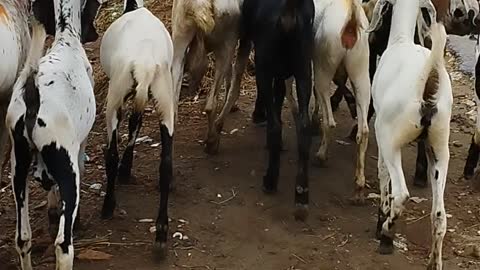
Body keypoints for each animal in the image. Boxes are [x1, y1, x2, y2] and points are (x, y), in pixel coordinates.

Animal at [6, 0, 102, 268]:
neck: (66, 41)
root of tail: (33, 96)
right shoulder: (78, 148)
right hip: (67, 170)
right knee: (63, 245)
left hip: (18, 167)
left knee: (22, 238)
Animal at [100, 0, 175, 258]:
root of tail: (145, 66)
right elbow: (136, 122)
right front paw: (127, 168)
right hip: (165, 98)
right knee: (165, 164)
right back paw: (161, 233)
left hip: (115, 93)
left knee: (110, 153)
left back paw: (107, 207)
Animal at [366, 0, 452, 268]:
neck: (401, 39)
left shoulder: (382, 134)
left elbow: (383, 176)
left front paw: (381, 221)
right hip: (440, 147)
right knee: (439, 215)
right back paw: (434, 262)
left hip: (390, 139)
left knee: (401, 193)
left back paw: (387, 231)